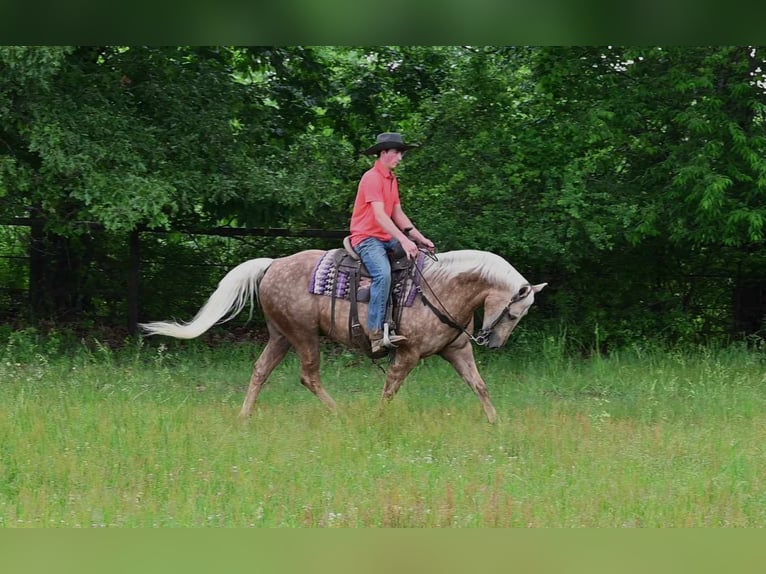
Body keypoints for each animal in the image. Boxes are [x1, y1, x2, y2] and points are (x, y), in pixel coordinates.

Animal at [138, 248, 544, 424]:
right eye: (514, 311)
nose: (494, 343)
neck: (442, 287)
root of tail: (272, 264)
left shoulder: (457, 350)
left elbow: (479, 386)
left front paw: (495, 423)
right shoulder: (408, 354)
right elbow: (391, 388)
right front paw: (377, 420)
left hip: (280, 335)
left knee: (260, 370)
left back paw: (245, 416)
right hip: (304, 335)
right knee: (308, 376)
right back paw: (340, 413)